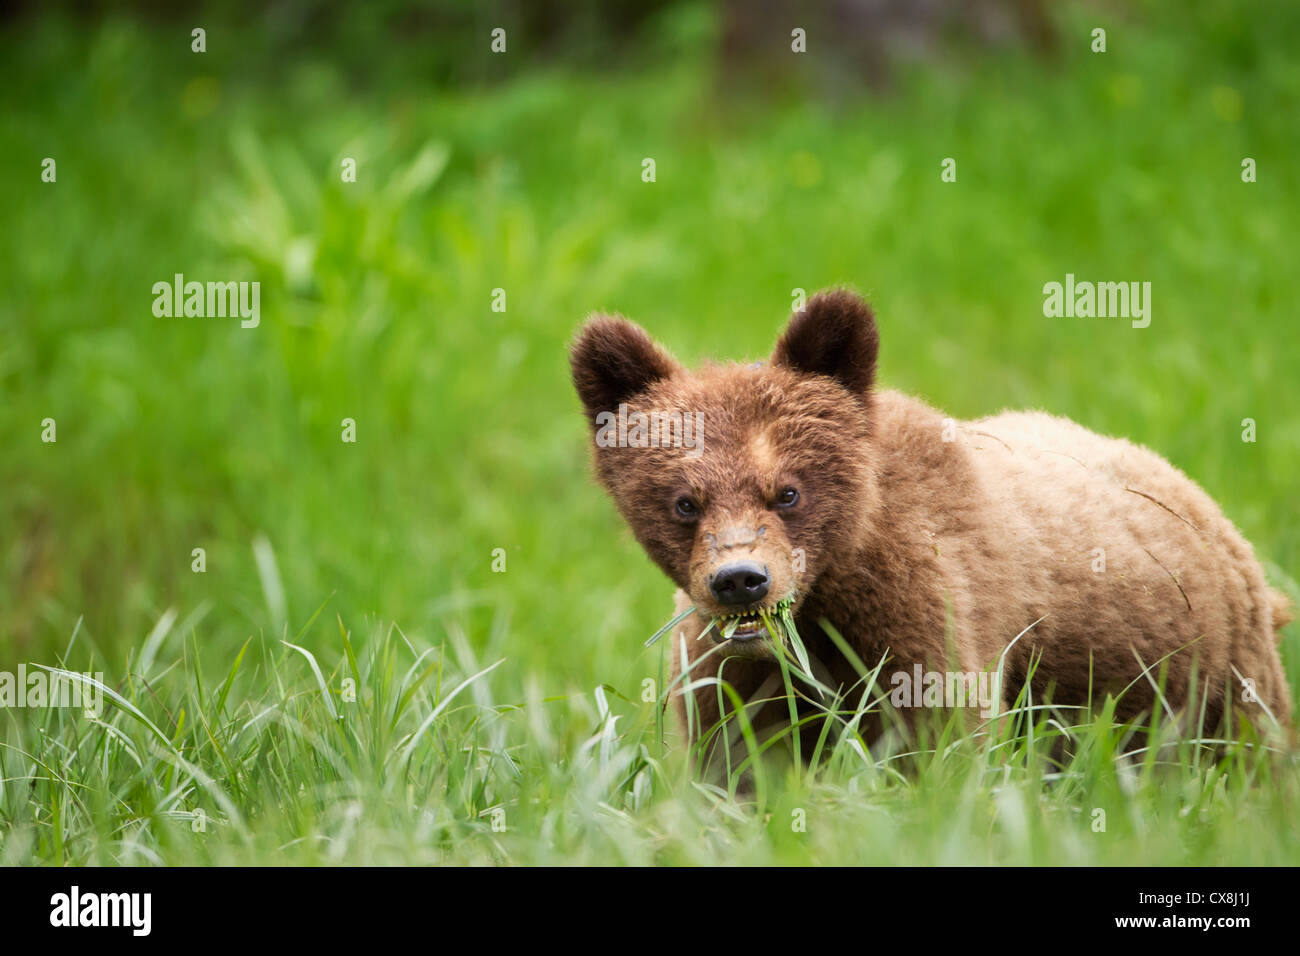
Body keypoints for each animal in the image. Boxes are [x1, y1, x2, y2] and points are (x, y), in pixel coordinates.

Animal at [570, 289, 1293, 762]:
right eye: (684, 502)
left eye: (788, 491)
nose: (741, 580)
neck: (822, 603)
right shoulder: (729, 668)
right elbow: (739, 756)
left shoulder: (926, 609)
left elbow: (941, 733)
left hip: (1212, 667)